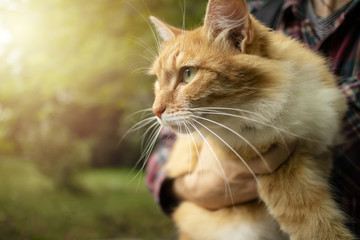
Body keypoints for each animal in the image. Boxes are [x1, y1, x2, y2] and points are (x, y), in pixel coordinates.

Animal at [148, 0, 352, 238]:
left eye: (188, 74)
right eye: (158, 81)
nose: (155, 110)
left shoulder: (320, 152)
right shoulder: (280, 174)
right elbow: (316, 225)